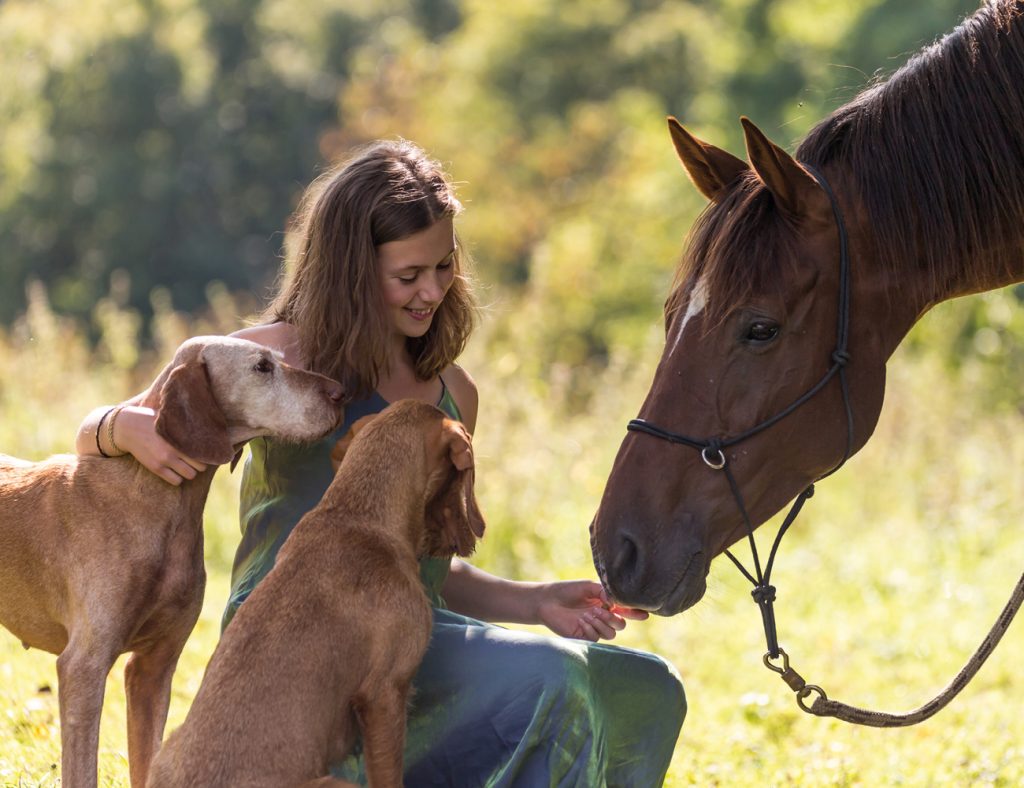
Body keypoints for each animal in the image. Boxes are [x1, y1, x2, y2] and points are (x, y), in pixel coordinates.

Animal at [0, 335, 344, 785]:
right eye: (262, 367)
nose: (341, 393)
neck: (158, 498)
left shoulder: (154, 668)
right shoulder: (83, 667)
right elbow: (82, 769)